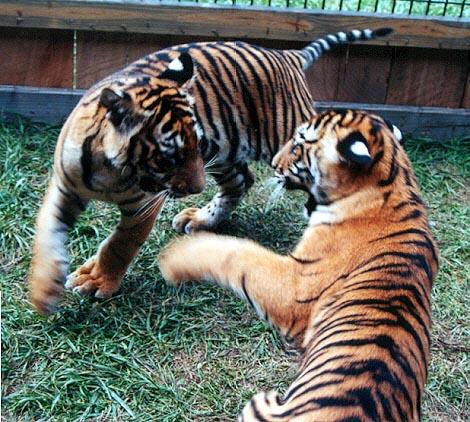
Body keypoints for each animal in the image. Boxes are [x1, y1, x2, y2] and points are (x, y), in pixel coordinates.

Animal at [160, 110, 438, 420]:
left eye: (297, 146)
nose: (272, 164)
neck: (395, 181)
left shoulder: (294, 285)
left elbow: (239, 252)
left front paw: (175, 257)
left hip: (263, 400)